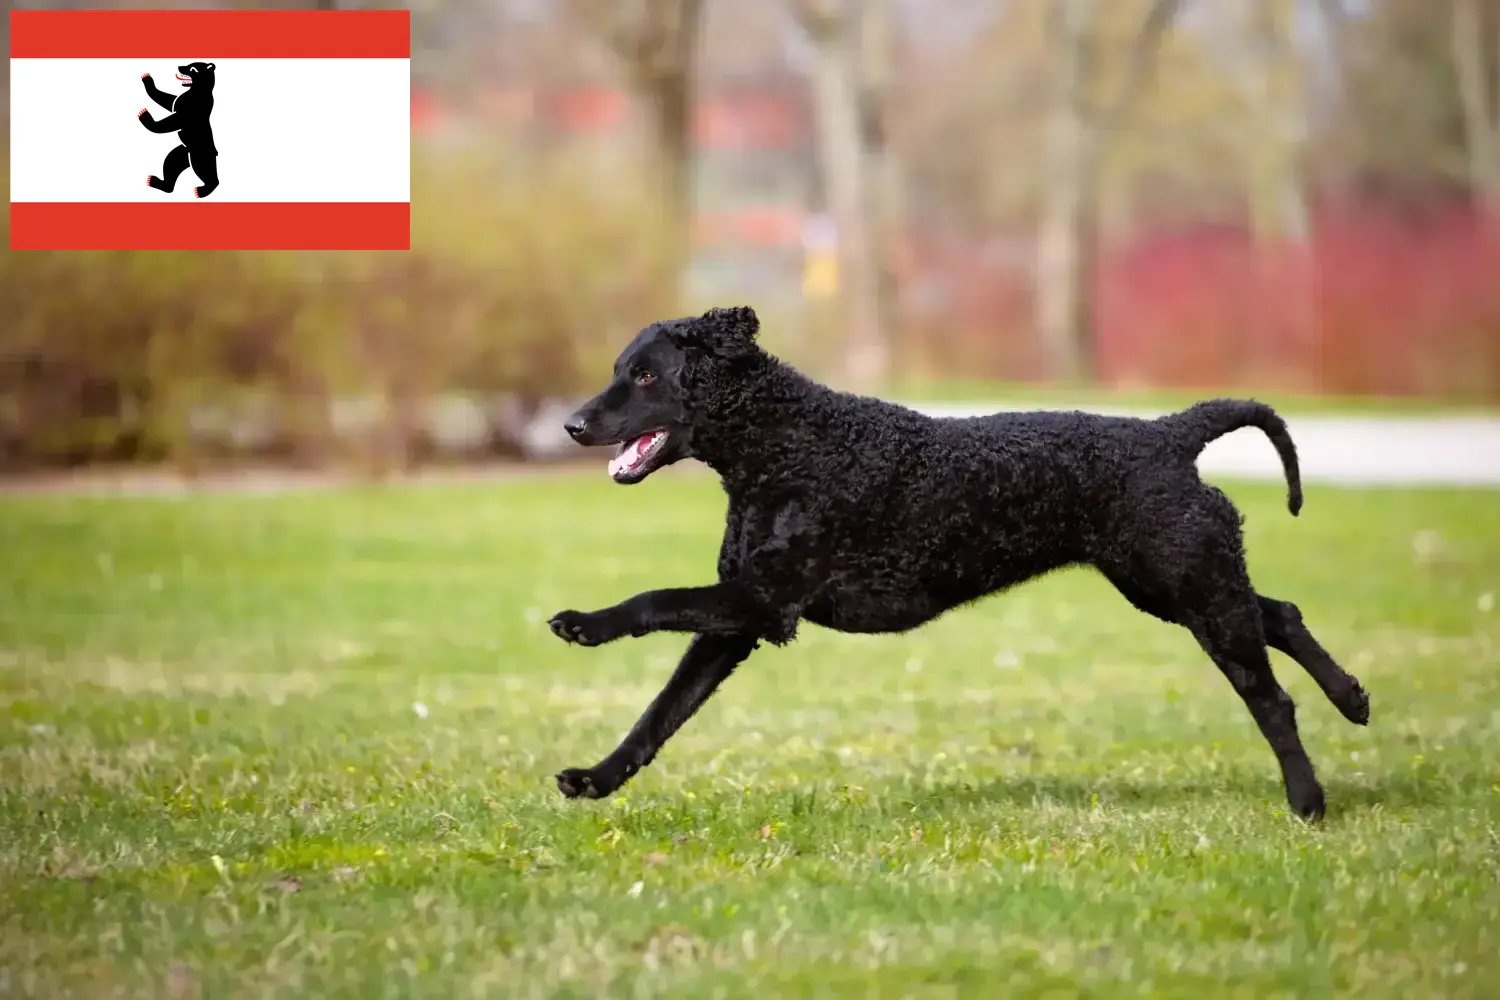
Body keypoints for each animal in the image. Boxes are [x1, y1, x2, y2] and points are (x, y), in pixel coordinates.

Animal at [555, 307, 1374, 821]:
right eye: (620, 370)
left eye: (647, 377)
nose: (571, 424)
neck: (787, 443)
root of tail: (1169, 433)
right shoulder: (739, 617)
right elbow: (659, 714)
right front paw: (596, 778)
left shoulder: (764, 603)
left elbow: (652, 600)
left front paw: (584, 623)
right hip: (1174, 585)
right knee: (1282, 614)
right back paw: (1354, 699)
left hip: (1191, 586)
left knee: (1270, 698)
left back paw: (1308, 803)